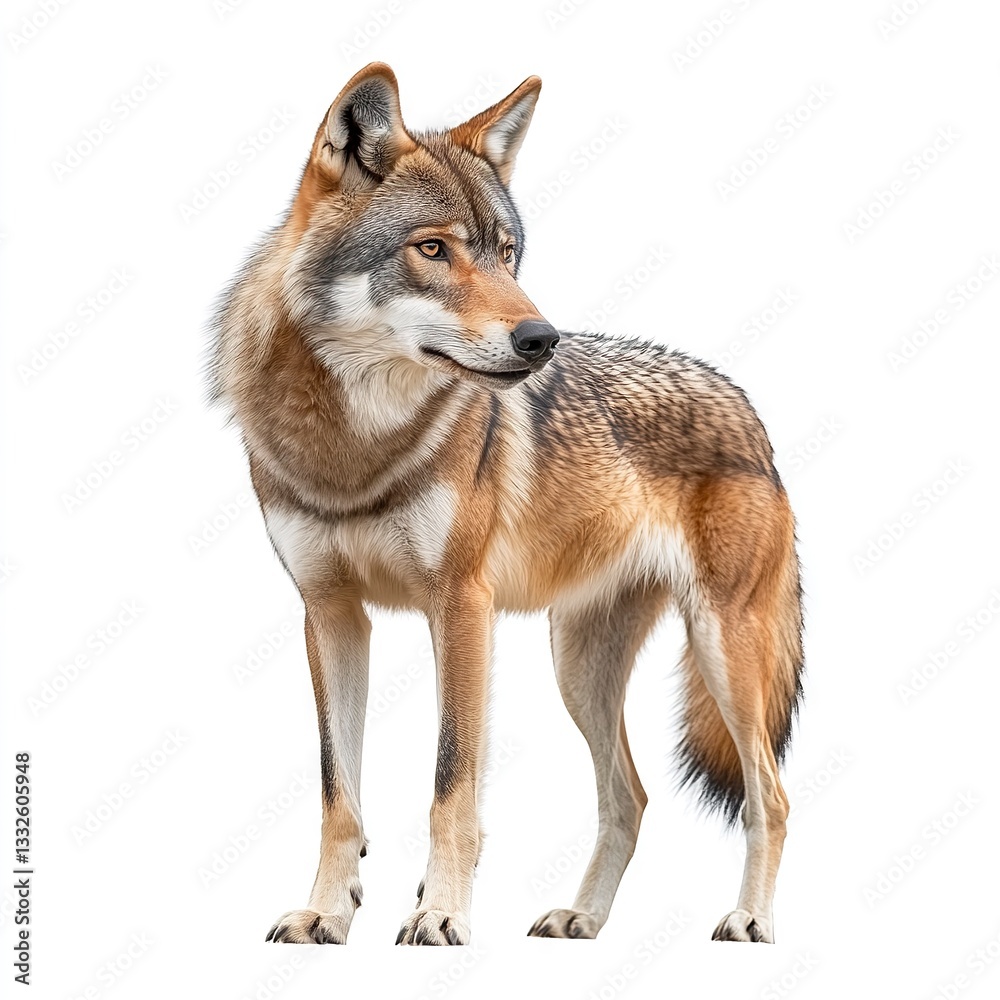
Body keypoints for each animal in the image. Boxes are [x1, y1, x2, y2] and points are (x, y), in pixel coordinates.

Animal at [210, 62, 804, 946]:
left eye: (507, 253)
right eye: (433, 249)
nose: (541, 340)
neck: (353, 447)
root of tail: (751, 413)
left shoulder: (460, 605)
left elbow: (451, 783)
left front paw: (439, 915)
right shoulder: (329, 613)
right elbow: (337, 794)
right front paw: (325, 912)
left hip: (723, 652)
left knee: (771, 794)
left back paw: (749, 920)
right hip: (579, 666)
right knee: (630, 797)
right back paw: (581, 917)